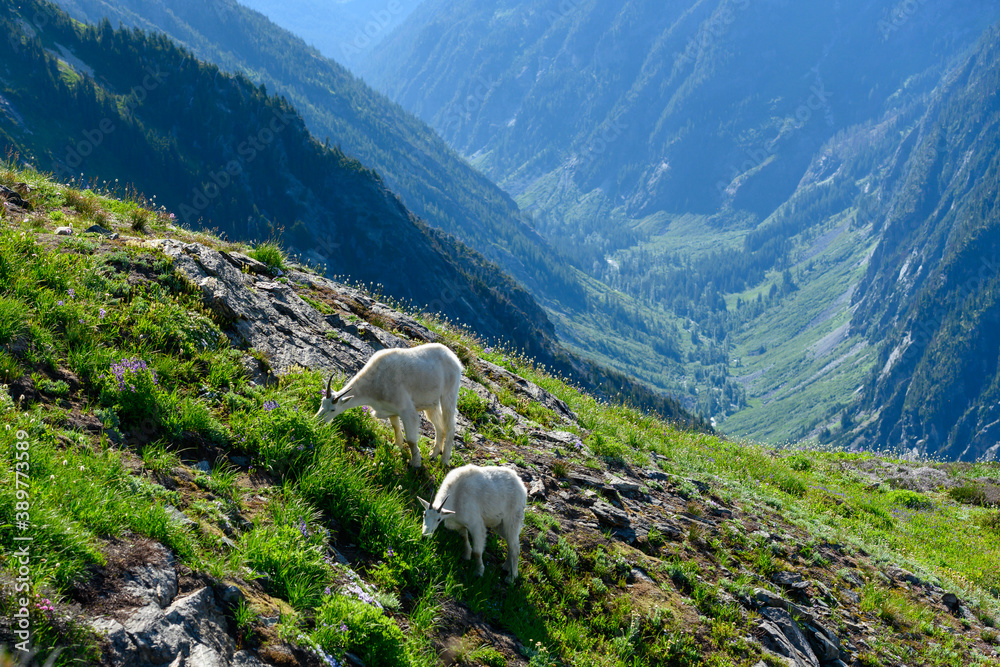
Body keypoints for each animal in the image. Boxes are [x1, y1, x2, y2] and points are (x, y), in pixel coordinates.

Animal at [316, 343, 462, 467]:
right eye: (322, 402)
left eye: (333, 409)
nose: (317, 421)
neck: (374, 384)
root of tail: (455, 359)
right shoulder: (391, 410)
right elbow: (395, 427)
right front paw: (397, 446)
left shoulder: (406, 409)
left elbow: (411, 439)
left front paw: (415, 463)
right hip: (431, 403)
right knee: (439, 426)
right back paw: (433, 454)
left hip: (449, 394)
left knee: (450, 426)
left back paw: (444, 460)